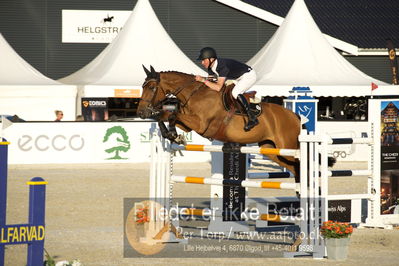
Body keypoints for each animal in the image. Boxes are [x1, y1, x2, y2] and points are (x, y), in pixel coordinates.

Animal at [138, 65, 304, 182]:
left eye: (151, 87)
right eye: (142, 86)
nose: (141, 113)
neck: (195, 95)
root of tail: (295, 116)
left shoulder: (201, 125)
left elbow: (173, 114)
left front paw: (174, 135)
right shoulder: (187, 124)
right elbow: (164, 116)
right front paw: (172, 135)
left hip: (287, 147)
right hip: (272, 149)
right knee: (294, 167)